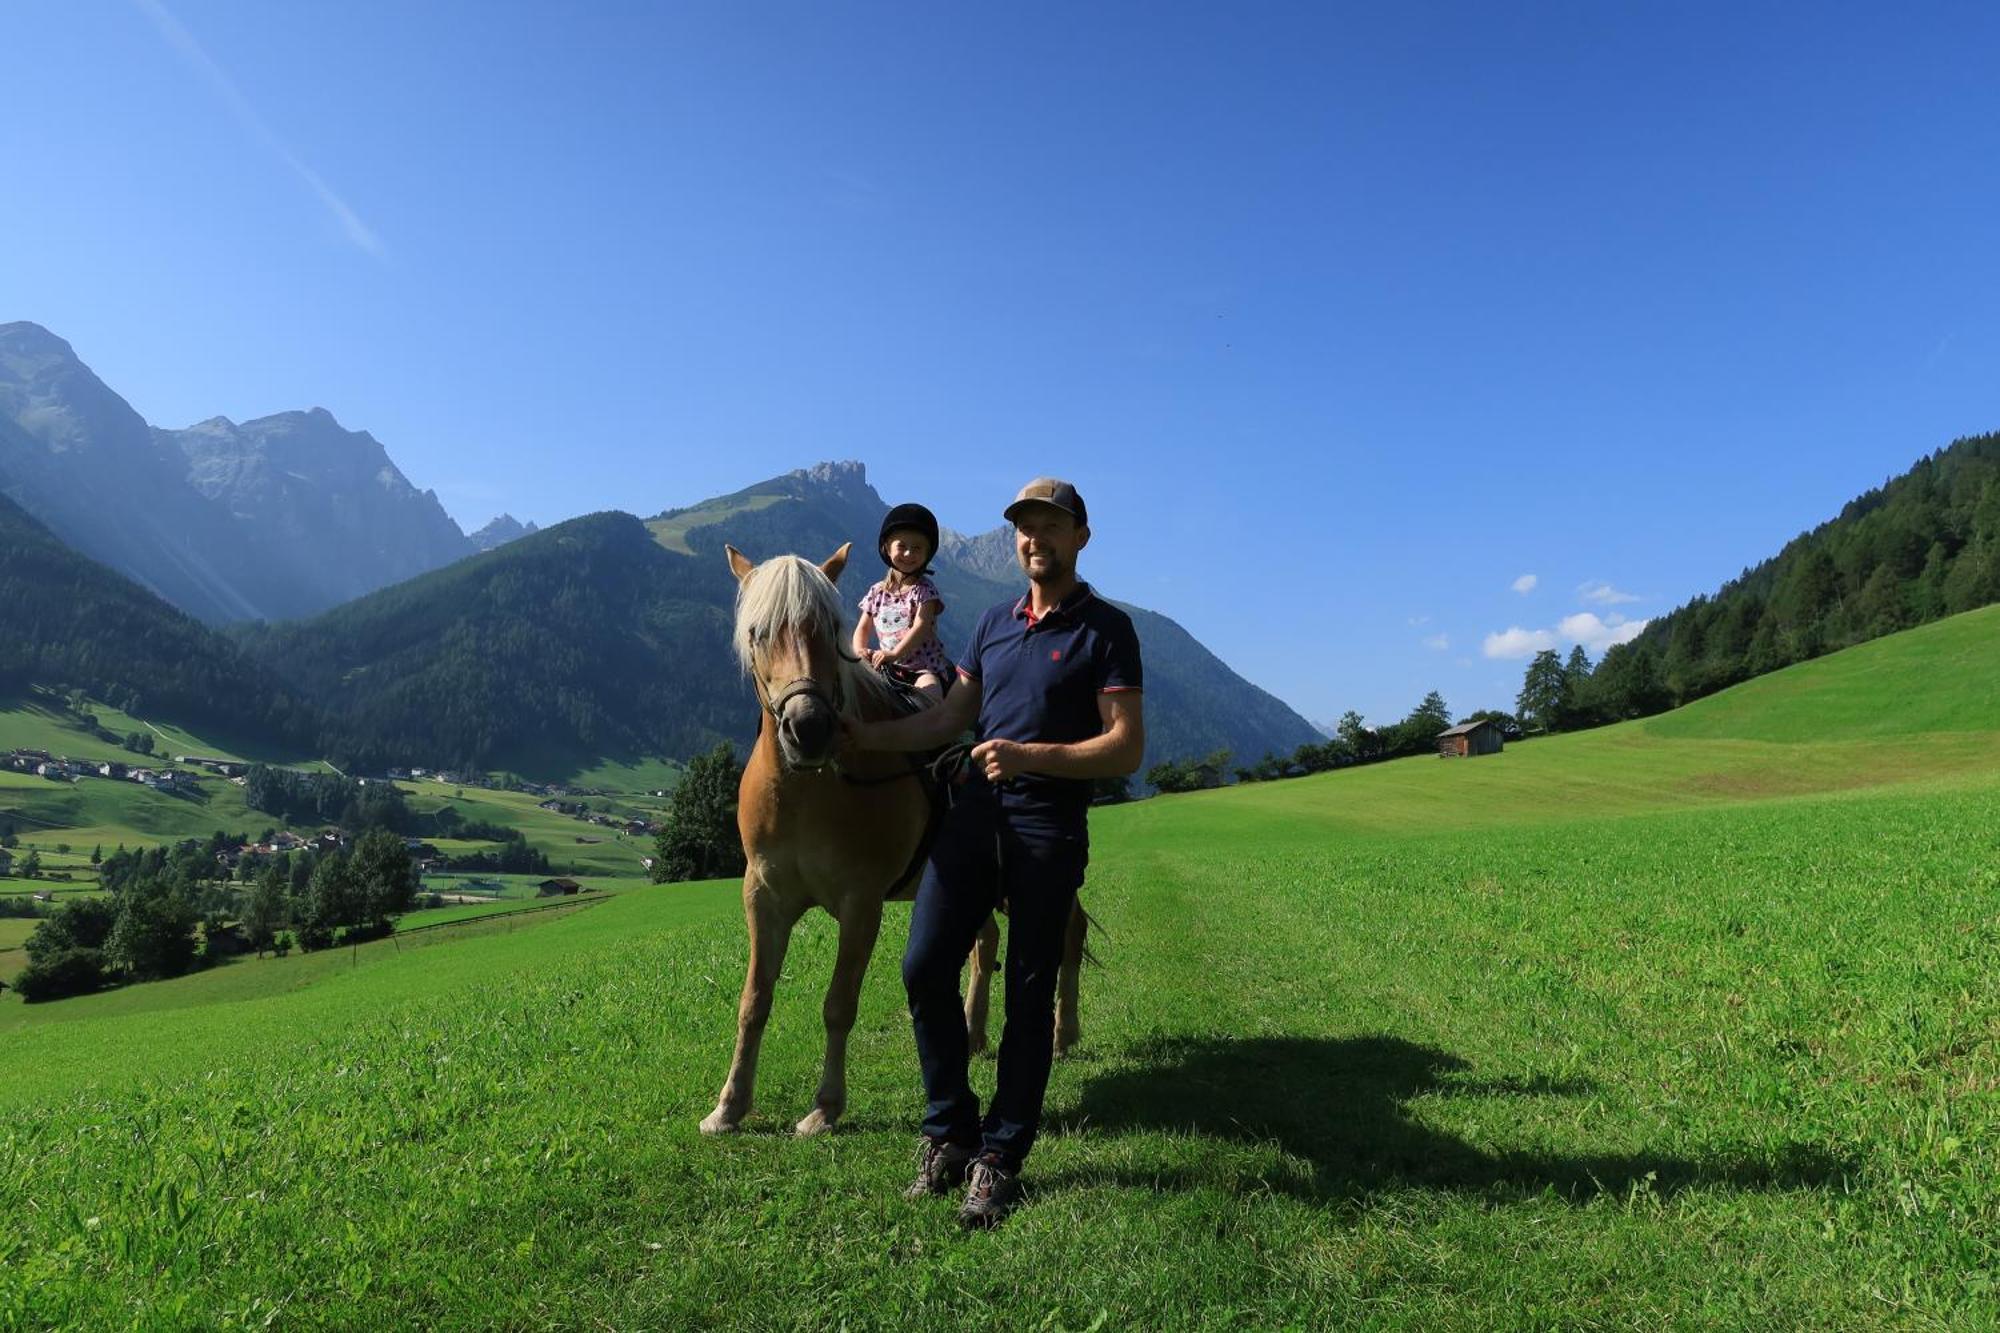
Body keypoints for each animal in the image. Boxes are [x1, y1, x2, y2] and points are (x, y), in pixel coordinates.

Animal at [704, 540, 1096, 1128]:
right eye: (757, 632)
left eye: (830, 629)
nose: (809, 729)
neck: (809, 789)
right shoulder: (764, 897)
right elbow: (754, 1002)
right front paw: (728, 1107)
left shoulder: (860, 903)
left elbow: (839, 1004)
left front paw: (825, 1108)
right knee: (985, 944)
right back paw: (974, 1035)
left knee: (1069, 932)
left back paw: (1063, 1034)